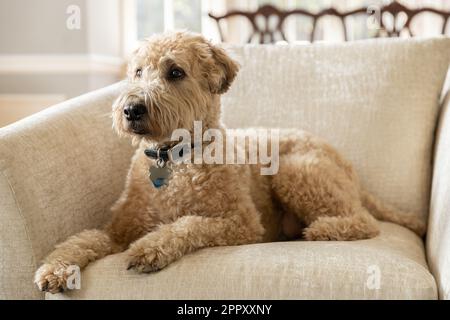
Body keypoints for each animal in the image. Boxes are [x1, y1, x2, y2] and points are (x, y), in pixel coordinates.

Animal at [33, 31, 424, 294]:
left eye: (175, 72)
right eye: (138, 72)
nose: (131, 110)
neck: (174, 159)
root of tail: (348, 166)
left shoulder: (241, 223)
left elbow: (188, 224)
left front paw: (149, 247)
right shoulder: (116, 229)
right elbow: (82, 238)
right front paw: (55, 268)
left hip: (295, 171)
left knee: (363, 221)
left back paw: (322, 230)